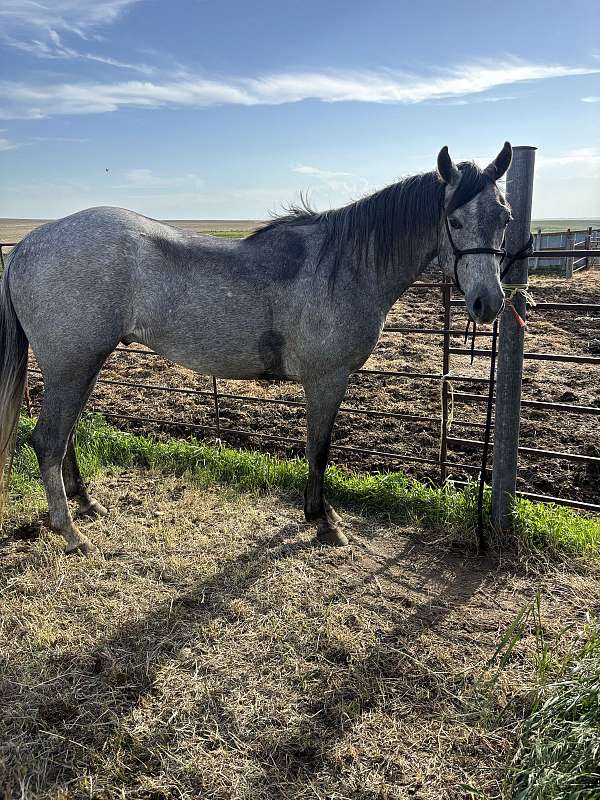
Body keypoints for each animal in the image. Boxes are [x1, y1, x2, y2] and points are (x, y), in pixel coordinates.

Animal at [0, 142, 513, 555]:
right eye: (454, 220)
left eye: (505, 218)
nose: (488, 304)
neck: (343, 264)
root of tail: (28, 244)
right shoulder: (327, 380)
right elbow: (319, 449)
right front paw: (323, 520)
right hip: (72, 365)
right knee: (48, 440)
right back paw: (71, 532)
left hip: (83, 364)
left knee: (65, 436)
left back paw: (87, 505)